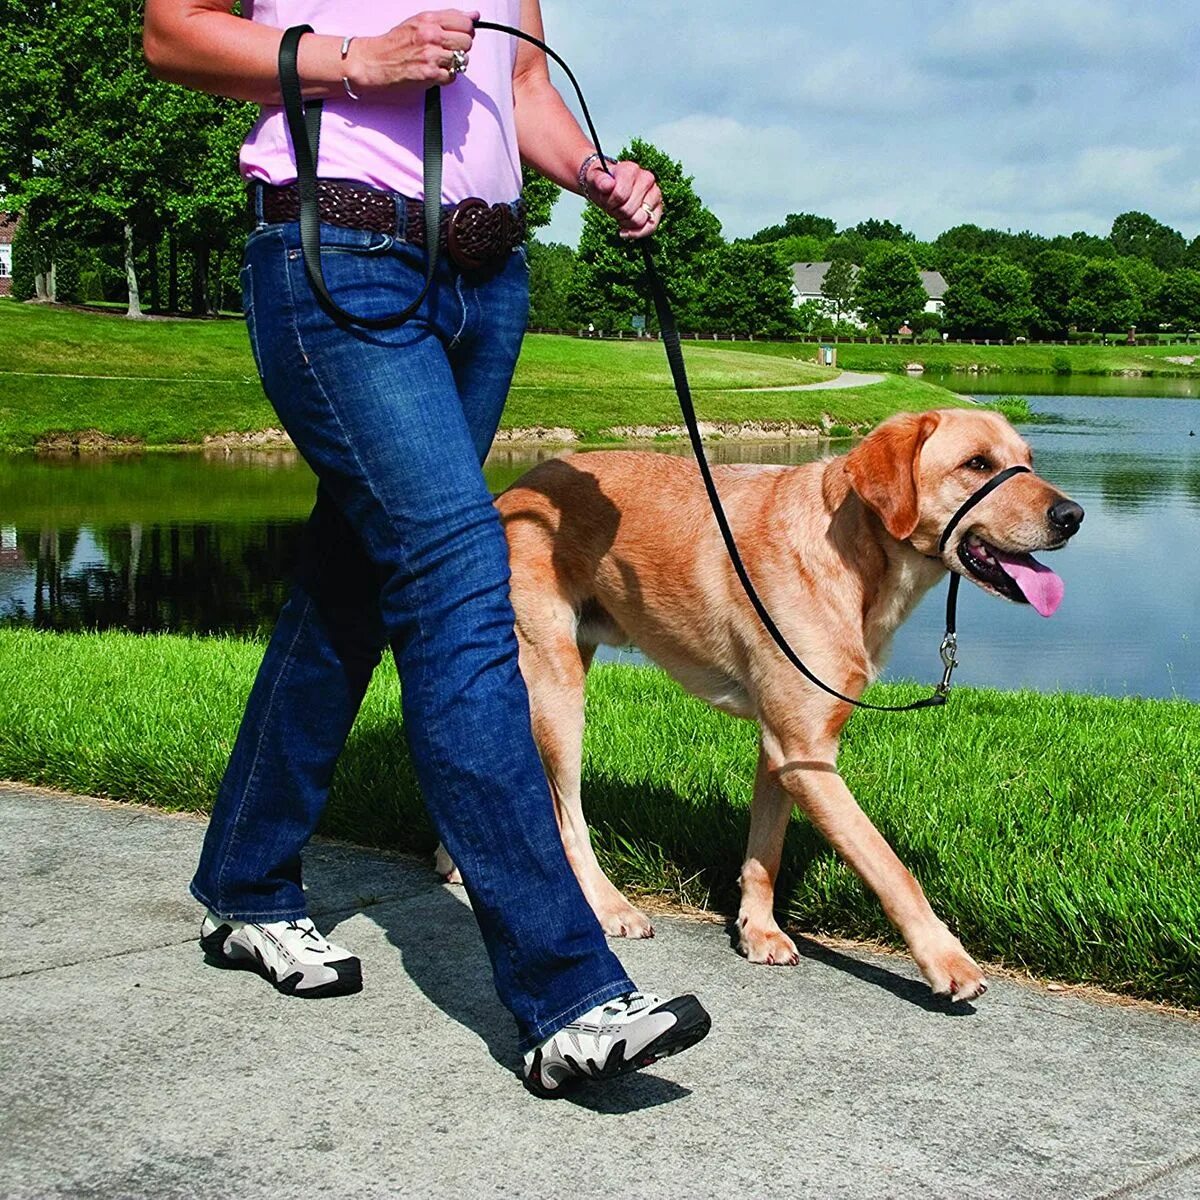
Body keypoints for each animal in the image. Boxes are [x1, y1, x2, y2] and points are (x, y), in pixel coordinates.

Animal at [436, 412, 1084, 1003]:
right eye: (977, 463)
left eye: (1028, 458)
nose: (1072, 516)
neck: (854, 556)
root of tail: (512, 491)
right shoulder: (807, 754)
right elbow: (888, 865)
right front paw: (946, 959)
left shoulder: (785, 747)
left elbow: (765, 849)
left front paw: (759, 930)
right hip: (557, 687)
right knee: (566, 815)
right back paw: (608, 905)